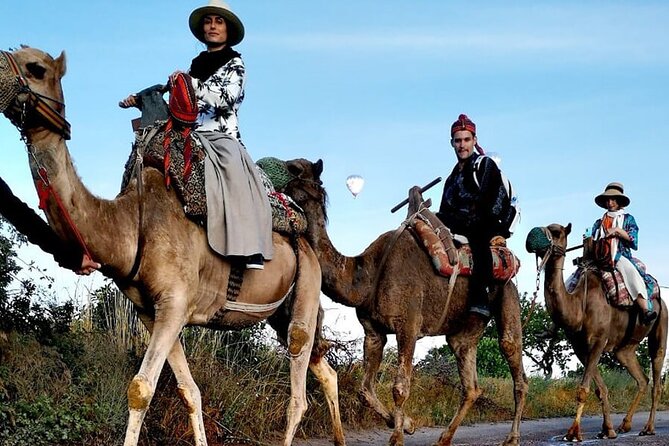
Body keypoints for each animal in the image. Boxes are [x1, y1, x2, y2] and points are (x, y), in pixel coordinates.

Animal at [0, 45, 344, 446]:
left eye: (36, 68)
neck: (131, 225)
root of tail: (304, 237)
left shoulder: (174, 303)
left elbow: (140, 389)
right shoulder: (152, 311)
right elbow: (188, 391)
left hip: (306, 290)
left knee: (298, 390)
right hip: (281, 311)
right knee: (325, 369)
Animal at [282, 159, 528, 444]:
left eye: (297, 168)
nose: (282, 168)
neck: (365, 274)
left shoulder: (408, 326)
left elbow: (400, 387)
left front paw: (397, 436)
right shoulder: (373, 332)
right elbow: (365, 390)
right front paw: (406, 425)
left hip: (507, 295)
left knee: (515, 364)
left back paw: (512, 438)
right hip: (463, 332)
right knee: (471, 385)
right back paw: (443, 438)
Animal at [528, 225, 664, 440]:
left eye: (556, 232)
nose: (531, 236)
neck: (579, 306)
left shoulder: (599, 340)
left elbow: (583, 389)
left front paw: (573, 433)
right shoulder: (580, 347)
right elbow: (600, 389)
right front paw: (608, 430)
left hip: (661, 322)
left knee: (656, 376)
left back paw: (648, 428)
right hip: (624, 349)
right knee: (642, 379)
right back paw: (625, 425)